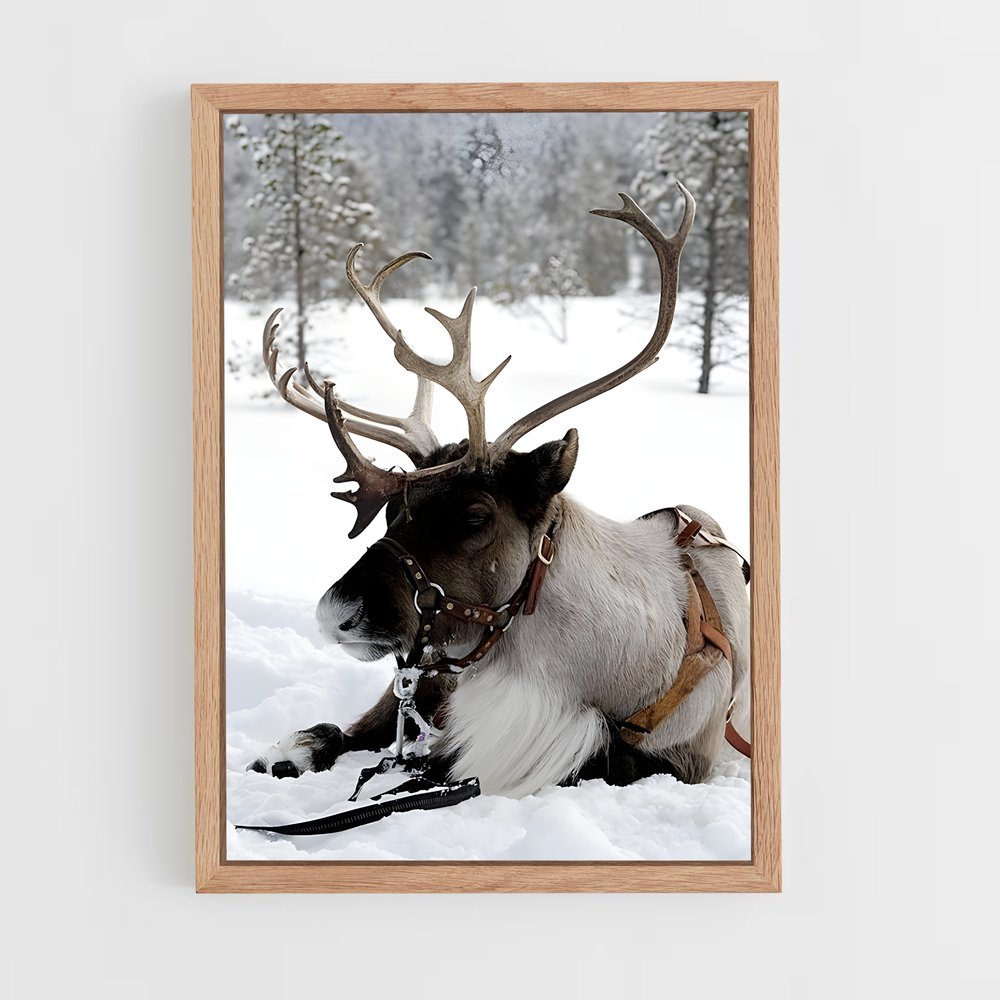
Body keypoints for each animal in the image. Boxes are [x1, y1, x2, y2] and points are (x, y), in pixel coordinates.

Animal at [246, 185, 751, 799]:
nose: (334, 614)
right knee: (355, 727)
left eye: (474, 515)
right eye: (392, 512)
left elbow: (594, 755)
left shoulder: (684, 759)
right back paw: (288, 753)